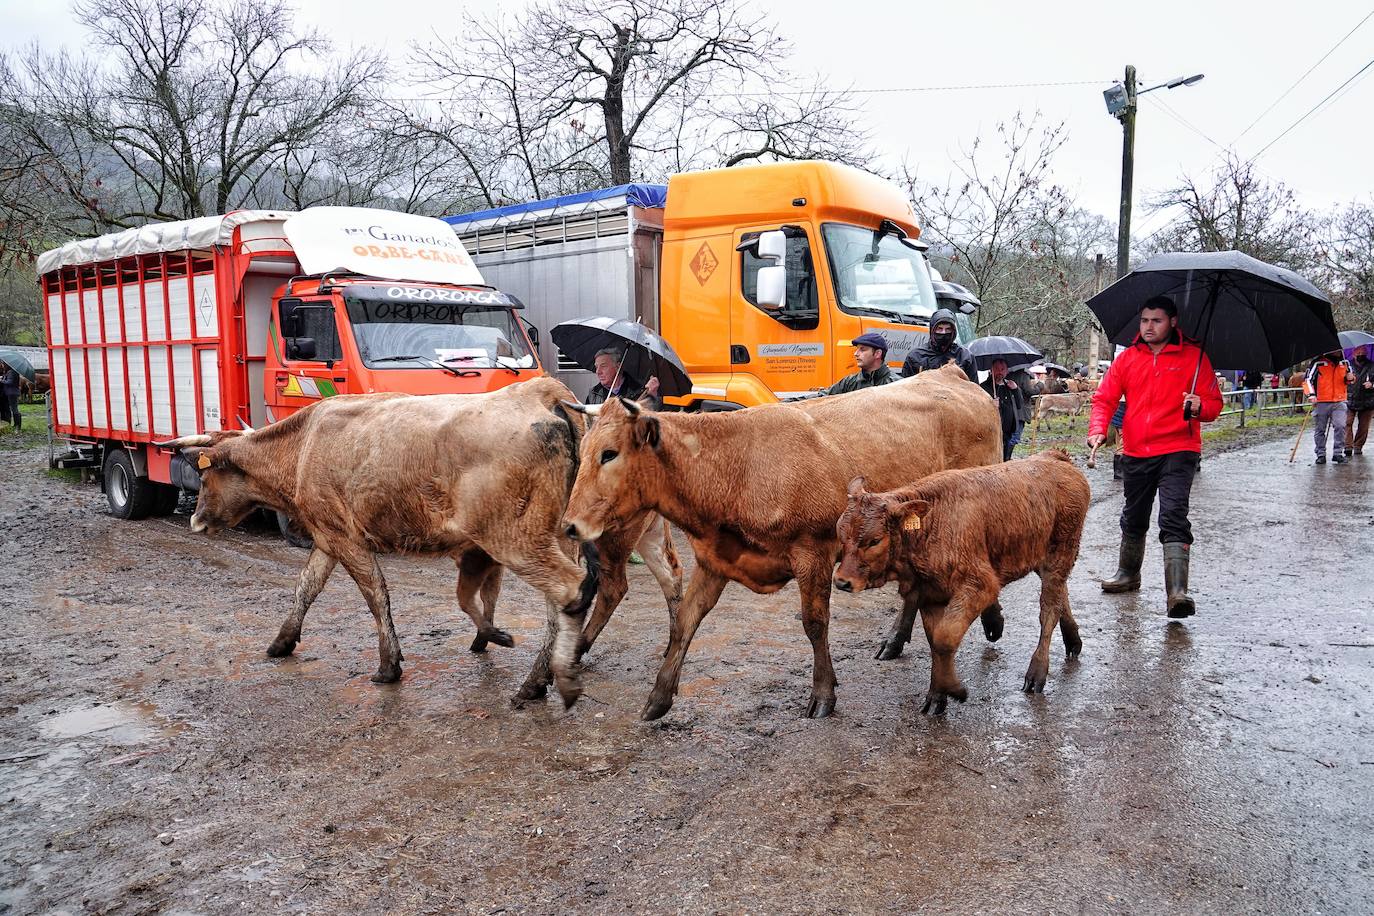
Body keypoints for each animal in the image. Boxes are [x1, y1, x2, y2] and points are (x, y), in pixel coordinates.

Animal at [163, 376, 678, 708]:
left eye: (205, 477)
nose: (195, 522)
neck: (305, 441)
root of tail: (541, 392)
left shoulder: (347, 538)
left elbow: (376, 596)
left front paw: (389, 665)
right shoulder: (327, 537)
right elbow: (305, 589)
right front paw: (282, 641)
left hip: (515, 538)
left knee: (572, 589)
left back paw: (550, 682)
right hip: (556, 536)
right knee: (567, 603)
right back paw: (543, 675)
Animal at [557, 362, 1000, 719]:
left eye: (609, 453)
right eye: (583, 448)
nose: (570, 525)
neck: (738, 465)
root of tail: (950, 372)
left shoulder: (813, 551)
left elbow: (815, 624)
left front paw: (823, 693)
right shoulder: (715, 559)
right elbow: (685, 621)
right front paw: (659, 697)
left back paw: (991, 621)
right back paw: (895, 640)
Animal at [829, 450, 1088, 714]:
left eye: (874, 540)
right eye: (840, 532)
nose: (842, 581)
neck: (934, 521)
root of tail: (1055, 457)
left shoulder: (980, 585)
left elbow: (945, 638)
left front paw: (955, 690)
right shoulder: (930, 594)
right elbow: (936, 643)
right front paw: (936, 697)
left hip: (1059, 556)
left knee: (1049, 611)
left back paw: (1036, 673)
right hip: (1043, 560)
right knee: (1062, 596)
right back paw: (1073, 641)